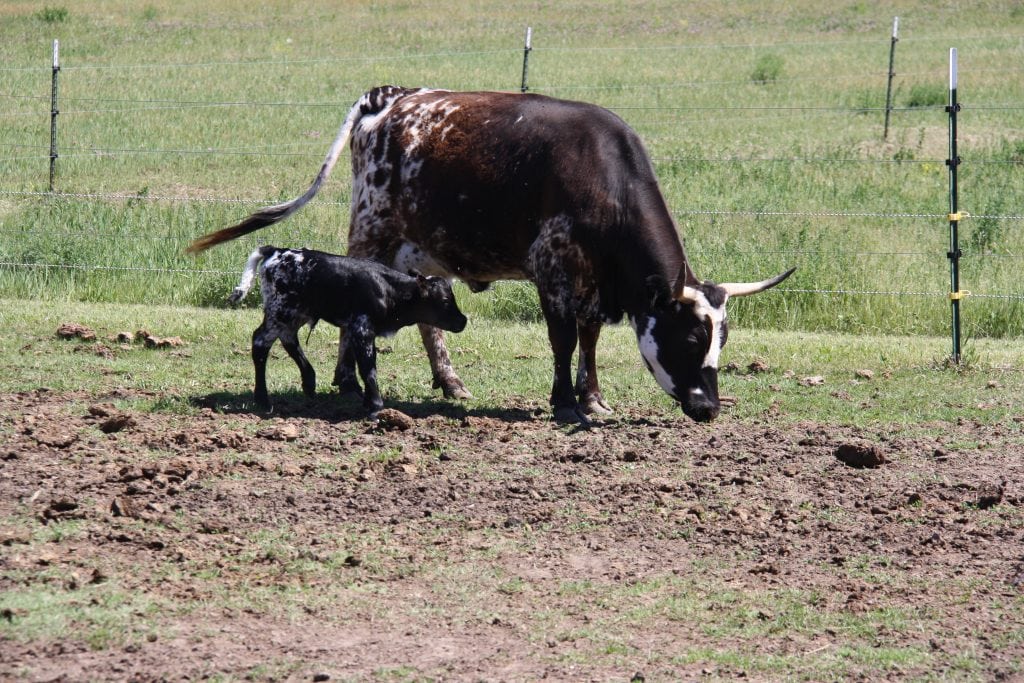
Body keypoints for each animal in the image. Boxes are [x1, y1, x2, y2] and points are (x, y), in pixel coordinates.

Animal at [228, 245, 467, 414]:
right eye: (445, 300)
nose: (463, 321)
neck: (390, 291)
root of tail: (277, 252)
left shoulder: (362, 332)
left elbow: (366, 364)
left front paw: (369, 401)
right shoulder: (362, 329)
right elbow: (368, 367)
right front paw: (375, 404)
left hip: (295, 314)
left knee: (288, 339)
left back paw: (309, 381)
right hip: (280, 313)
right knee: (260, 342)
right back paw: (263, 399)